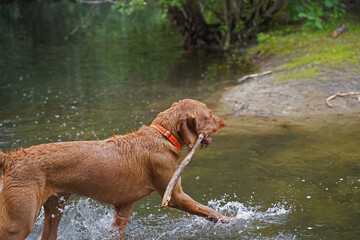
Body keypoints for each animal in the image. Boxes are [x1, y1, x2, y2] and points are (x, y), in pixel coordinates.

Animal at [0, 98, 231, 239]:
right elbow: (208, 210)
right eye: (209, 114)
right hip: (19, 222)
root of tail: (11, 157)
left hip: (55, 206)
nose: (225, 122)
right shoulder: (175, 196)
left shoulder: (123, 206)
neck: (162, 136)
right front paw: (232, 219)